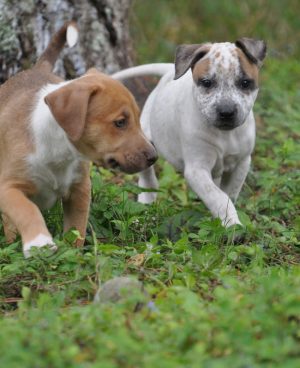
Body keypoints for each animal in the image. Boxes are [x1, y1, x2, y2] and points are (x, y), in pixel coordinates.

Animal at [0, 22, 156, 256]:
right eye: (120, 122)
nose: (154, 157)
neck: (58, 149)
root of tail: (39, 68)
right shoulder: (7, 187)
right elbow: (26, 209)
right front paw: (39, 243)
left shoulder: (80, 188)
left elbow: (76, 228)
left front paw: (73, 253)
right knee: (10, 221)